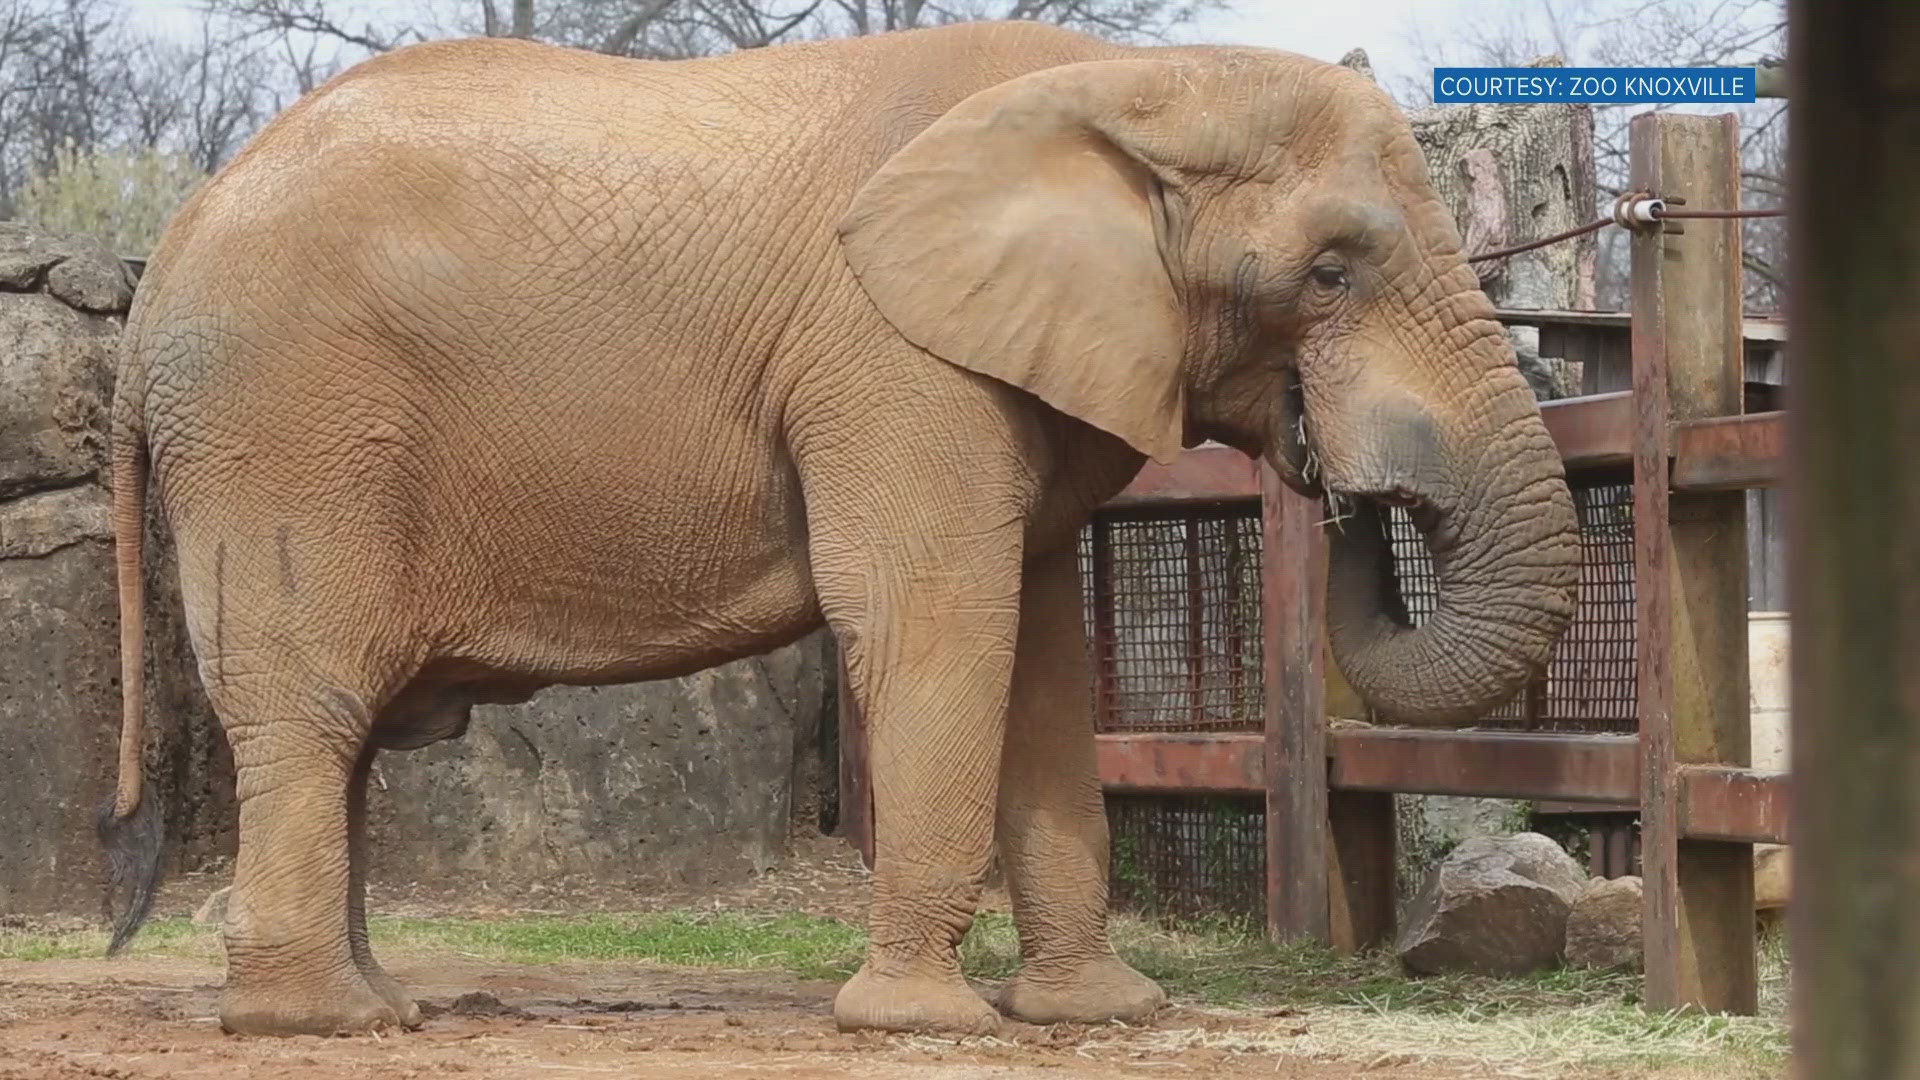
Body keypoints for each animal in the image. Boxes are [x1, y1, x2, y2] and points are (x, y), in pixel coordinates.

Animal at [97, 23, 1582, 1037]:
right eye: (1329, 272)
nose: (1335, 468)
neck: (1129, 79)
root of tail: (164, 251)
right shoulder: (889, 357)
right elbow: (940, 619)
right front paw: (922, 1027)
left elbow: (1044, 661)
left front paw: (1100, 1014)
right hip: (284, 428)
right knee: (312, 707)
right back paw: (325, 1024)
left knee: (334, 734)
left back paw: (375, 1004)